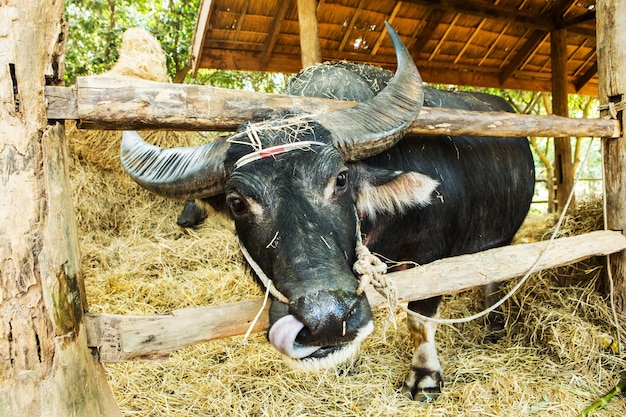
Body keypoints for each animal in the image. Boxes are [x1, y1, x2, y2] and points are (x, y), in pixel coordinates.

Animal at [119, 23, 532, 400]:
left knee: (495, 273)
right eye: (237, 202)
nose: (326, 321)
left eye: (340, 179)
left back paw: (493, 323)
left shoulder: (432, 258)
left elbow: (420, 320)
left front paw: (425, 378)